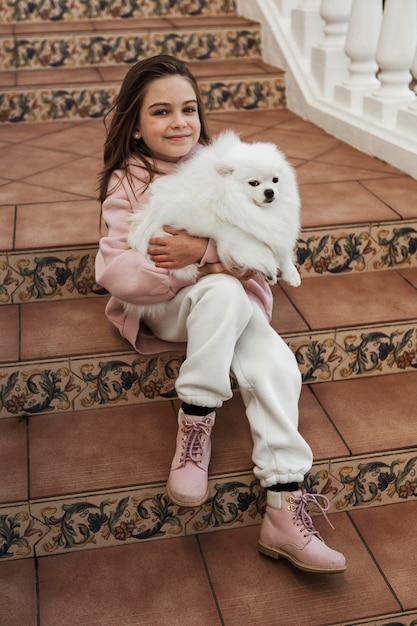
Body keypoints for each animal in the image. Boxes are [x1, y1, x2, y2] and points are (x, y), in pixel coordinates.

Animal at [126, 130, 300, 320]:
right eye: (254, 183)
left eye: (275, 180)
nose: (270, 192)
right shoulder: (232, 232)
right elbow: (256, 247)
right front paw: (268, 266)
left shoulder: (277, 227)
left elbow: (282, 249)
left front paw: (291, 273)